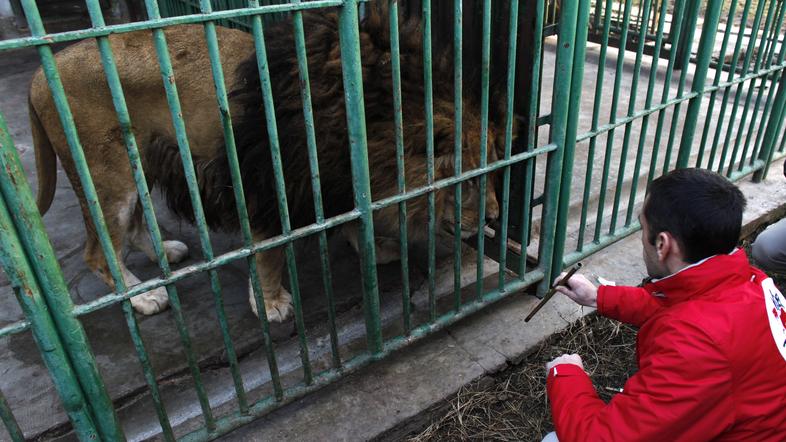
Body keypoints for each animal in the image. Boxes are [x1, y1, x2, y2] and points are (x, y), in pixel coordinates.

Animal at [29, 8, 502, 322]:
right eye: (468, 180)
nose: (494, 218)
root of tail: (39, 73)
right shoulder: (268, 182)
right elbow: (269, 252)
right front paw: (271, 302)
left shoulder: (330, 179)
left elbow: (348, 214)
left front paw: (375, 245)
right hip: (107, 179)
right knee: (98, 252)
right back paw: (142, 297)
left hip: (138, 166)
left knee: (134, 228)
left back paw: (167, 253)